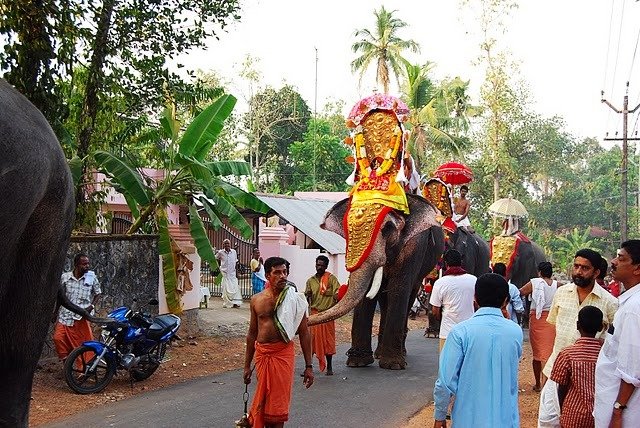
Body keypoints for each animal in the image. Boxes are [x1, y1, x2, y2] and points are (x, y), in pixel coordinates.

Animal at [310, 196, 444, 370]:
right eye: (347, 229)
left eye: (387, 228)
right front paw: (357, 362)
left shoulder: (414, 246)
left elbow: (399, 287)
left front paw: (392, 365)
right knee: (384, 298)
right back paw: (379, 354)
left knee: (409, 294)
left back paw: (400, 353)